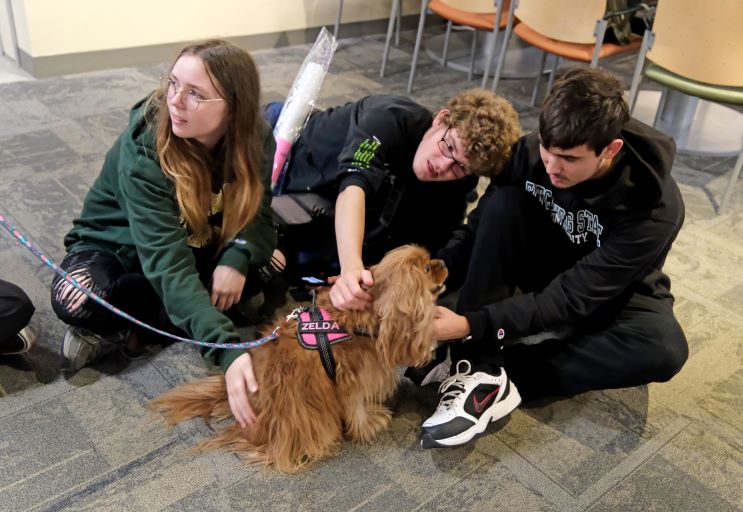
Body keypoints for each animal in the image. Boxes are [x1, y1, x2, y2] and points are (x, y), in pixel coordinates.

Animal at [151, 246, 448, 474]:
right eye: (426, 268)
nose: (443, 262)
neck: (368, 316)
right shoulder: (352, 380)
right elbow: (357, 409)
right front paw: (369, 424)